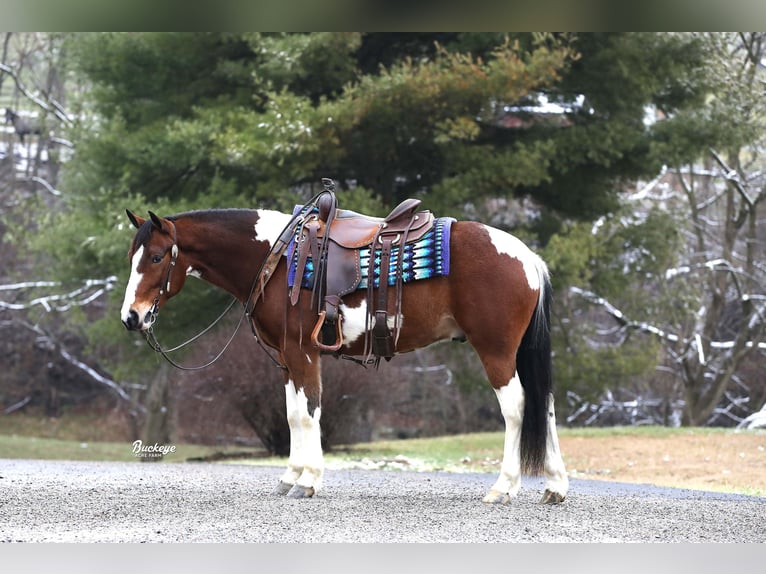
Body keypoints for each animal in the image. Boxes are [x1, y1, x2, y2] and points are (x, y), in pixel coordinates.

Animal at [121, 196, 568, 506]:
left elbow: (309, 413)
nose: (131, 317)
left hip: (496, 351)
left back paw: (503, 488)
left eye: (157, 257)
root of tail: (528, 258)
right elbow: (292, 415)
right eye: (132, 258)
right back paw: (555, 486)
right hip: (517, 353)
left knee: (516, 407)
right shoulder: (286, 360)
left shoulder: (302, 353)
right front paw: (290, 476)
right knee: (544, 404)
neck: (277, 258)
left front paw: (308, 481)